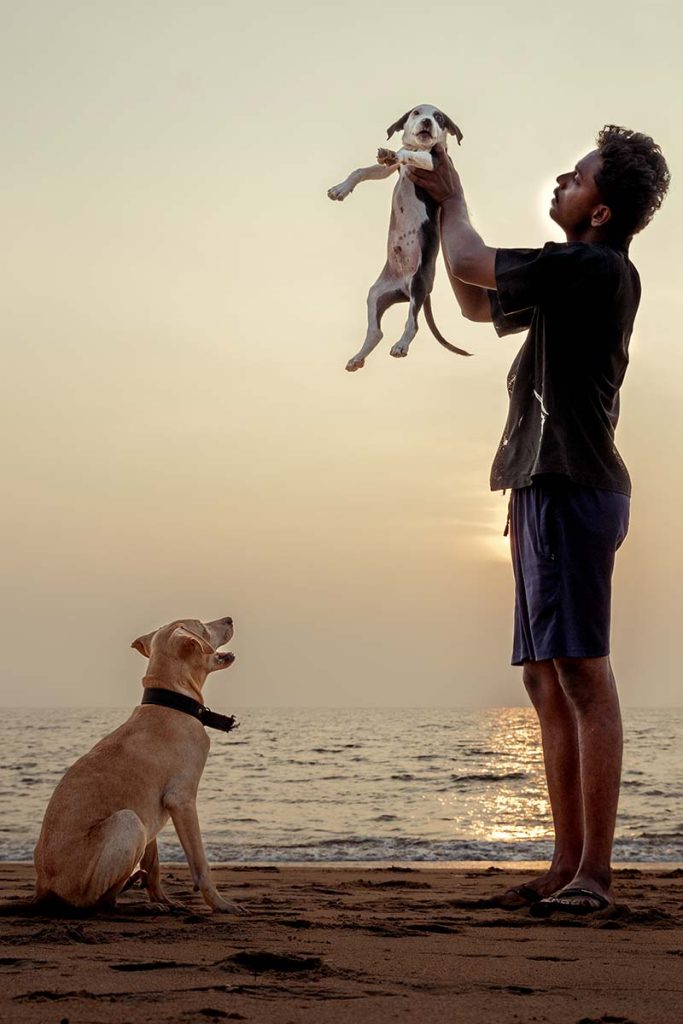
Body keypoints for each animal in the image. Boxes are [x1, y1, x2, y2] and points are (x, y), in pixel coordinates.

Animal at [35, 614, 242, 913]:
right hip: (128, 822)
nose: (229, 619)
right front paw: (220, 904)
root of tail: (44, 888)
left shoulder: (151, 814)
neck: (171, 703)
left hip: (139, 825)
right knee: (100, 903)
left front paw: (162, 899)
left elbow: (153, 864)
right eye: (202, 626)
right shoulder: (181, 800)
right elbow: (200, 863)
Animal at [327, 99, 473, 370]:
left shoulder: (432, 161)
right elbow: (361, 170)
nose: (427, 122)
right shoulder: (389, 170)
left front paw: (396, 153)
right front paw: (340, 189)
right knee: (376, 332)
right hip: (376, 293)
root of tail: (404, 287)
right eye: (416, 113)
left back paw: (401, 346)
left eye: (439, 118)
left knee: (412, 324)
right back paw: (357, 359)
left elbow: (410, 155)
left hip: (418, 283)